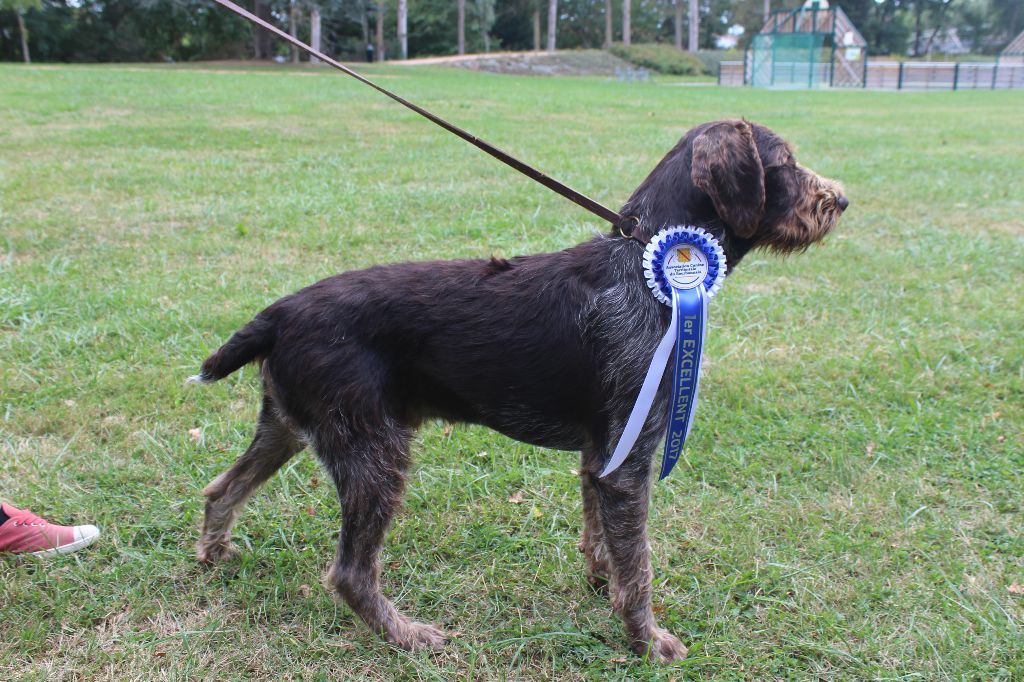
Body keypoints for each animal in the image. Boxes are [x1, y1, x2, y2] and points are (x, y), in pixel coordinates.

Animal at [192, 119, 847, 659]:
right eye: (785, 162)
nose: (839, 199)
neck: (650, 266)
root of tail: (280, 313)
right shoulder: (632, 460)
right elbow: (639, 567)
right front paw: (647, 639)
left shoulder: (604, 455)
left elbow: (603, 540)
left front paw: (601, 584)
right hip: (373, 455)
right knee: (351, 572)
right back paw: (406, 634)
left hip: (290, 429)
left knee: (221, 489)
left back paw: (215, 554)